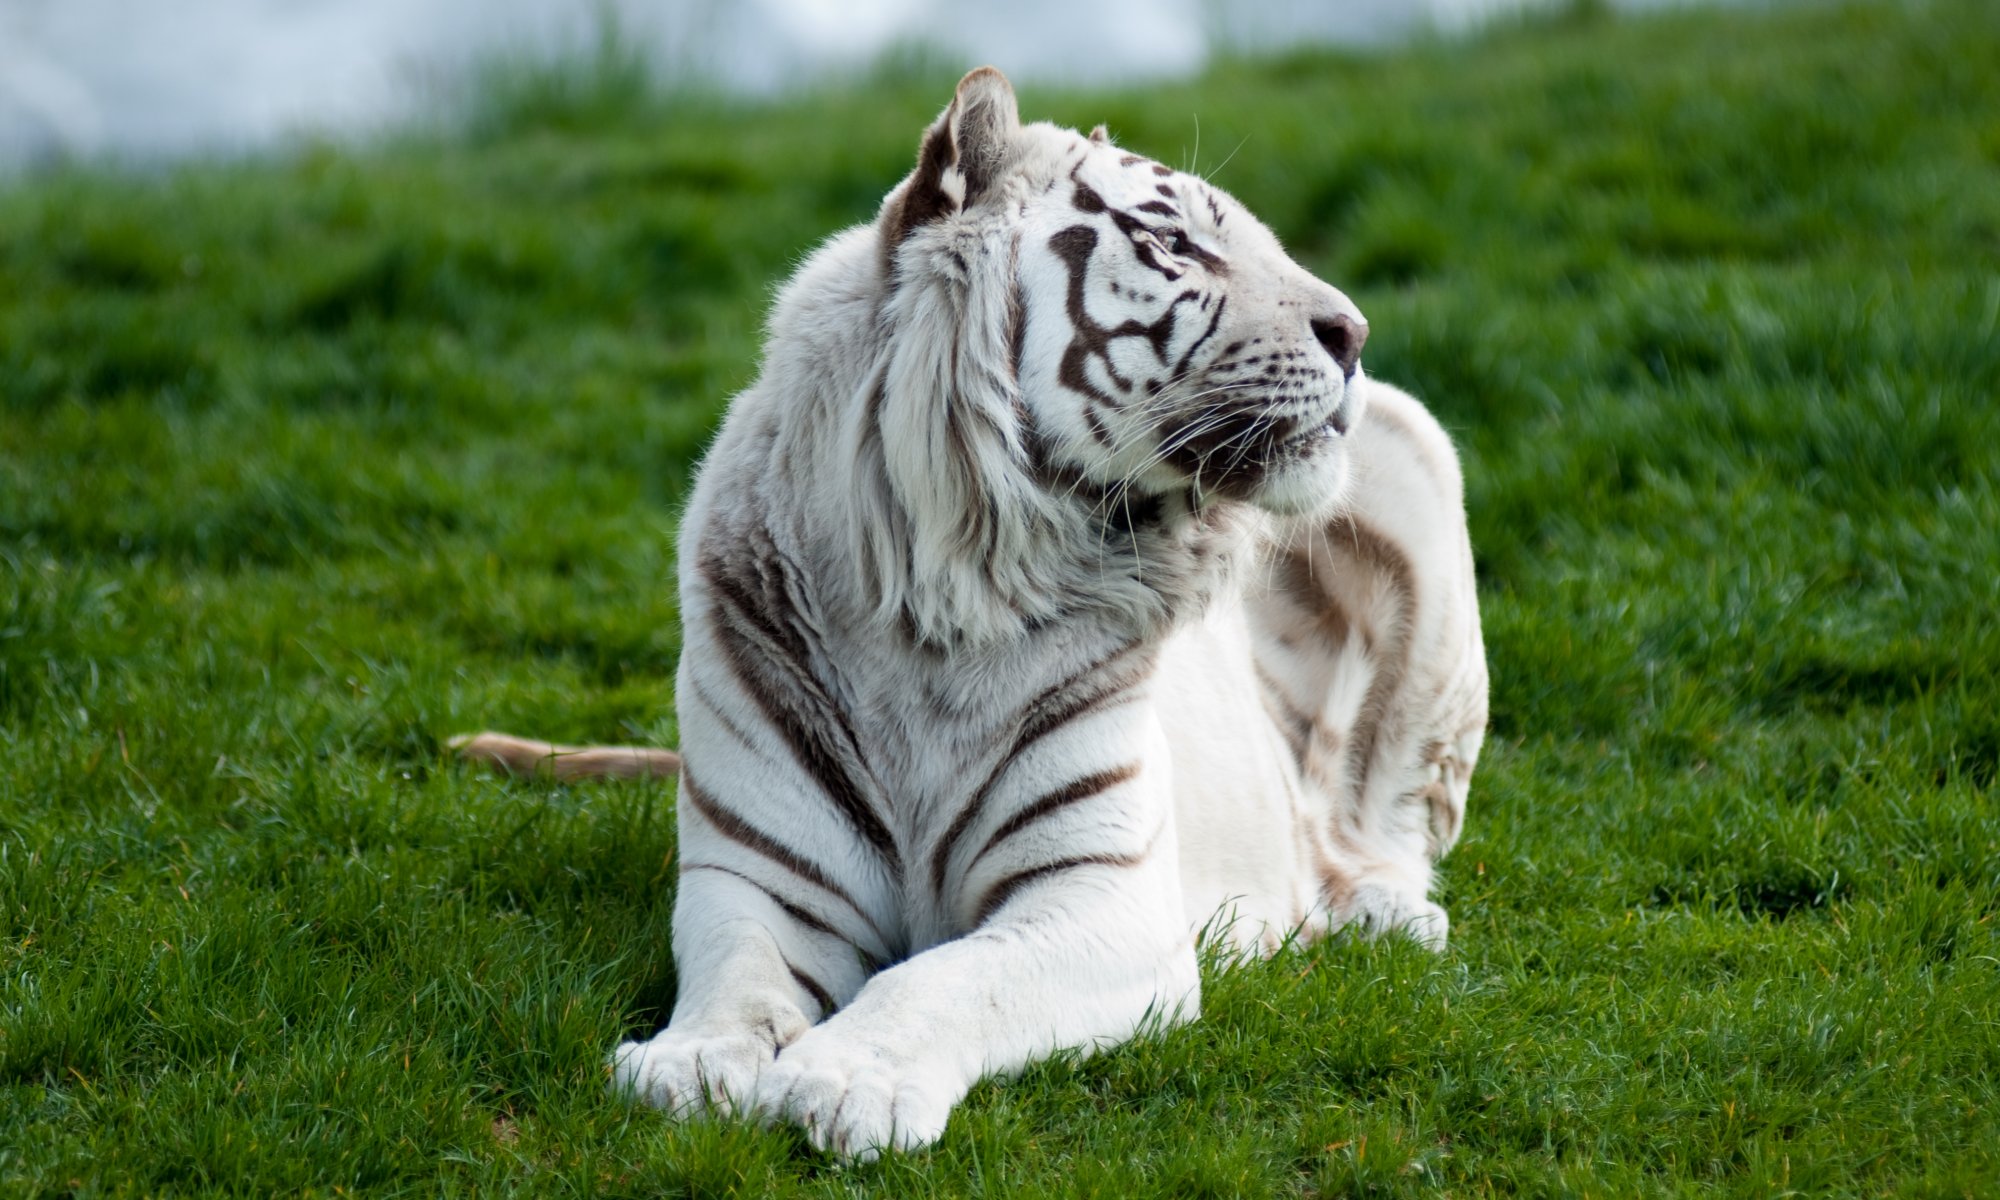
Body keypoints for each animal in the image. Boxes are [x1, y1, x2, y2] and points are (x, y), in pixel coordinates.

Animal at [453, 65, 1487, 1159]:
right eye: (1173, 243)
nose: (1355, 335)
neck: (941, 607)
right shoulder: (760, 880)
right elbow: (738, 977)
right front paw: (690, 1063)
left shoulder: (1103, 899)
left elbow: (945, 976)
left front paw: (844, 1081)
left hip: (1410, 449)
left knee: (1387, 823)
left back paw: (1381, 911)